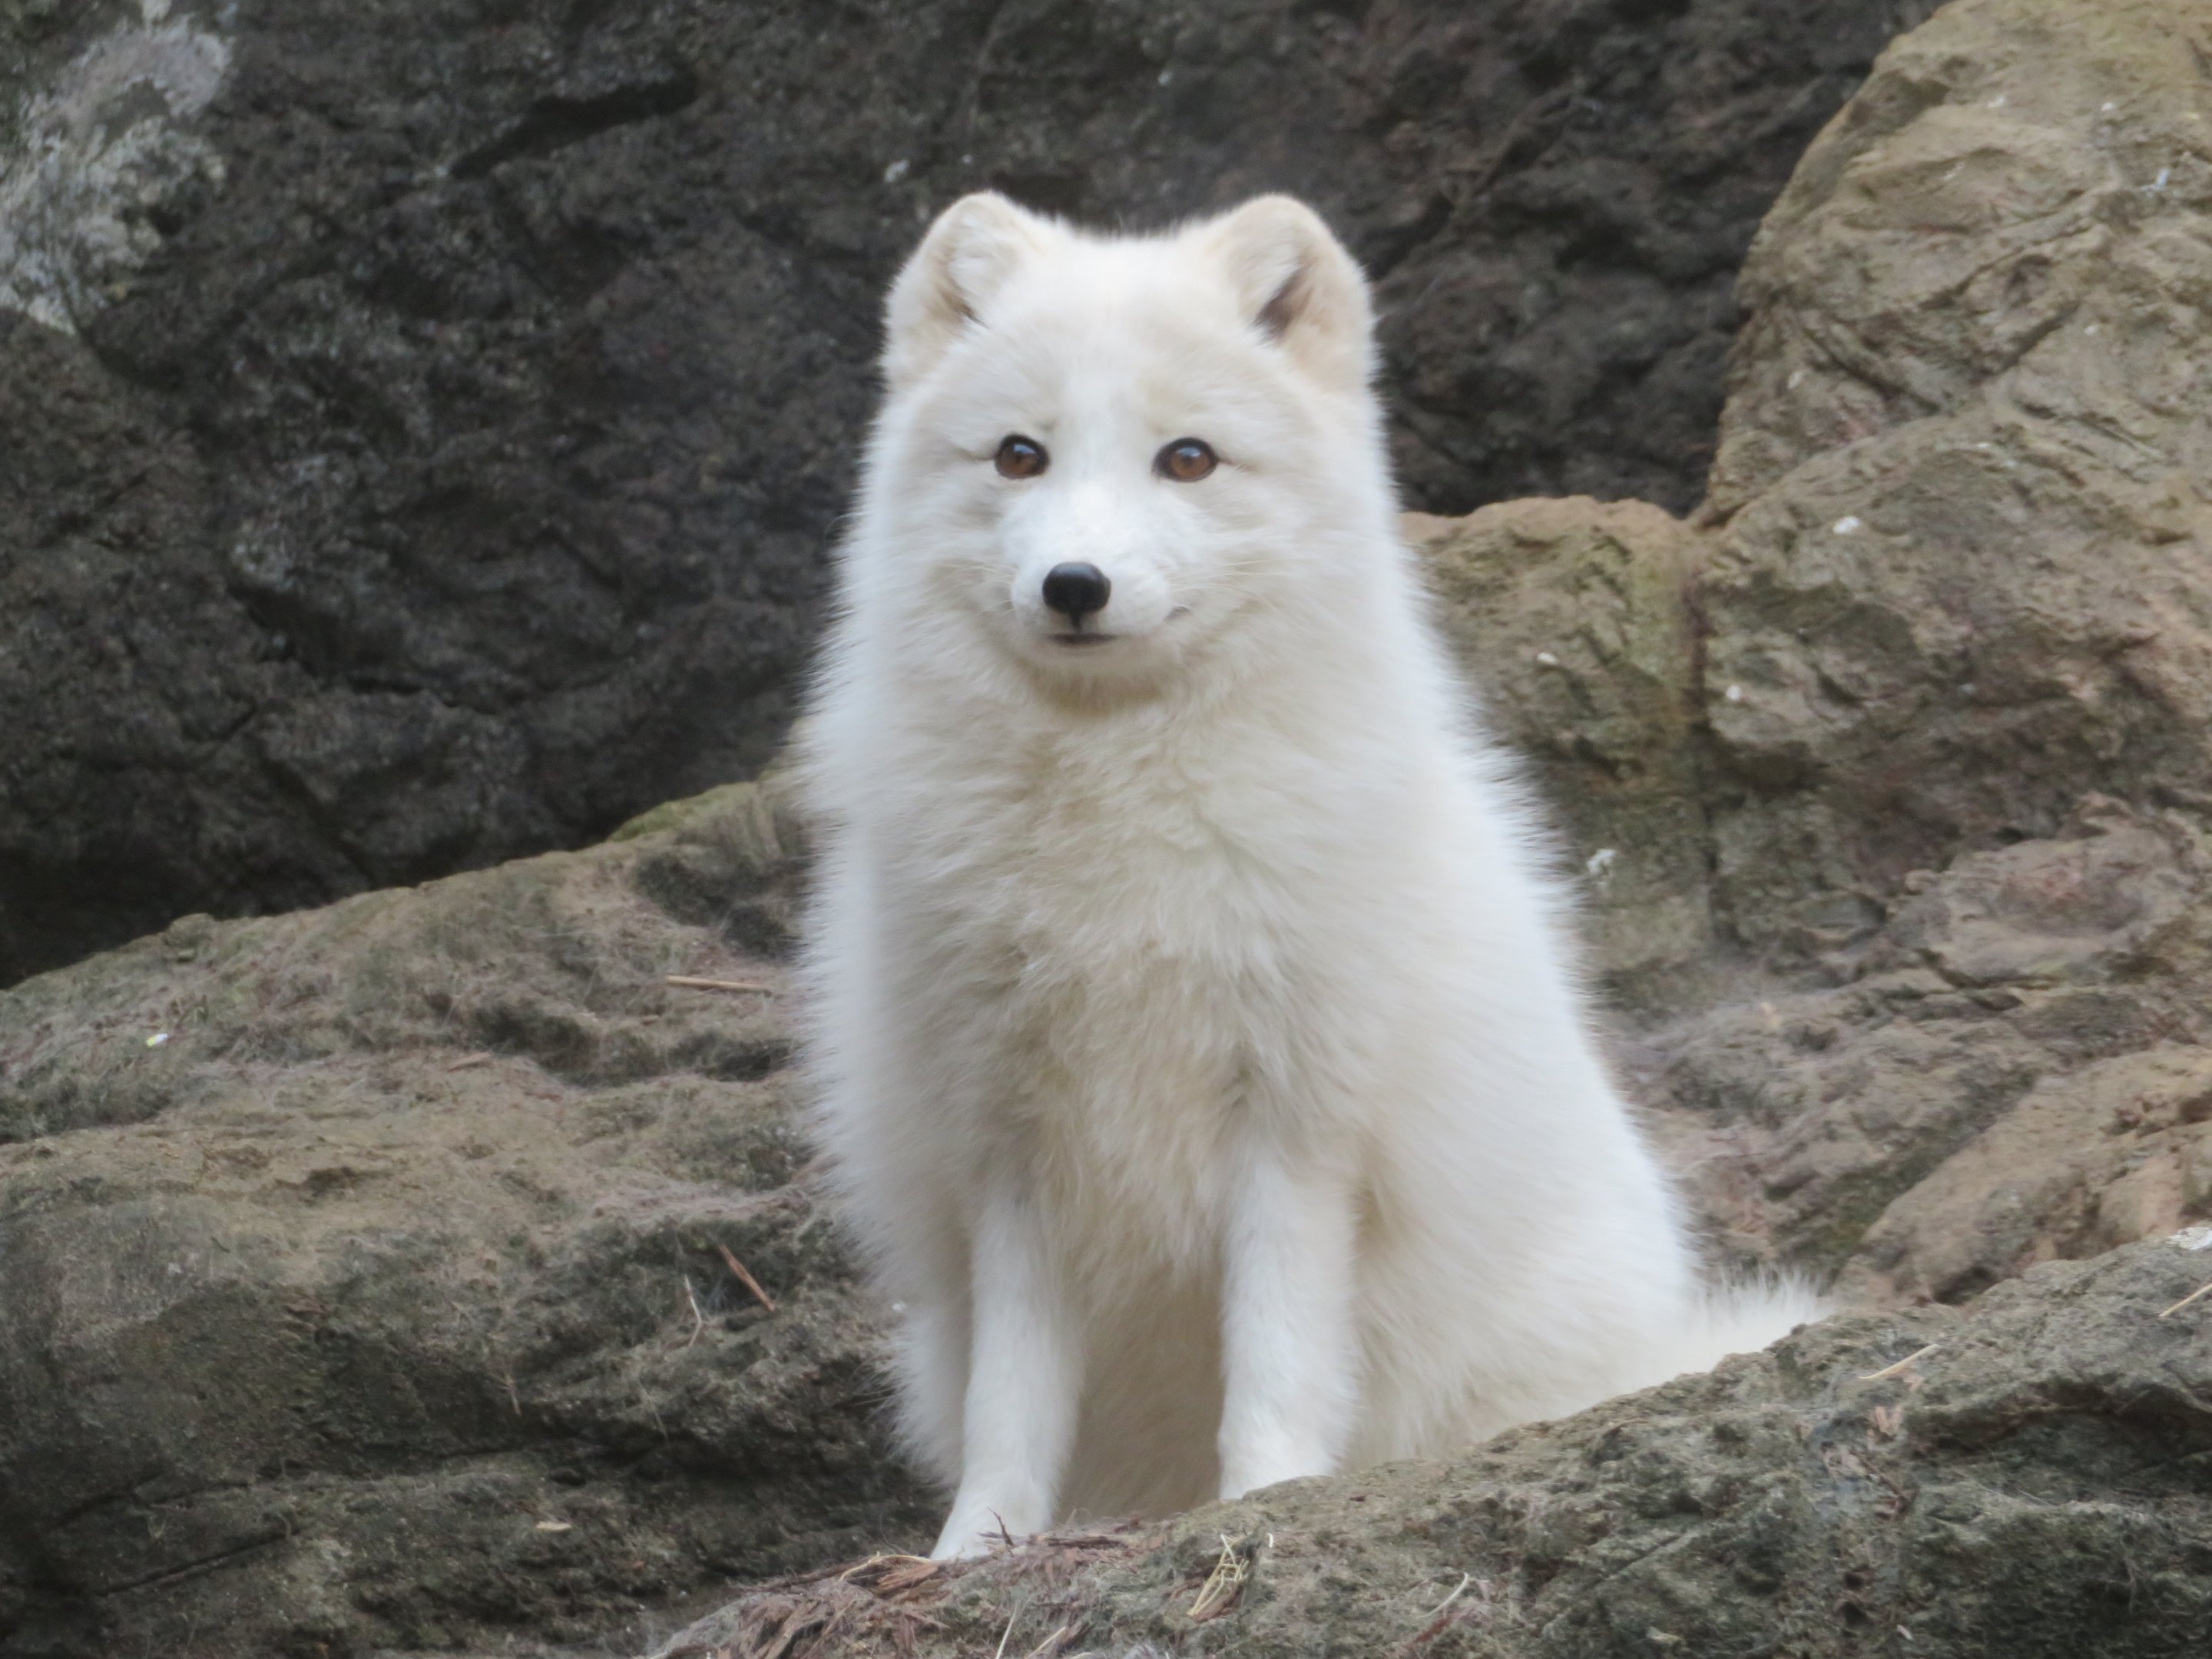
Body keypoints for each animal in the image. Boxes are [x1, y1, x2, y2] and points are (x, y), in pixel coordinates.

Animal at [795, 191, 1815, 1560]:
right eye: (1019, 456)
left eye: (1188, 459)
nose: (1075, 586)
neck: (1120, 817)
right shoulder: (1010, 1141)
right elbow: (1015, 1397)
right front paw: (979, 1549)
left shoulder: (1296, 1120)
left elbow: (1277, 1355)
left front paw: (1269, 1501)